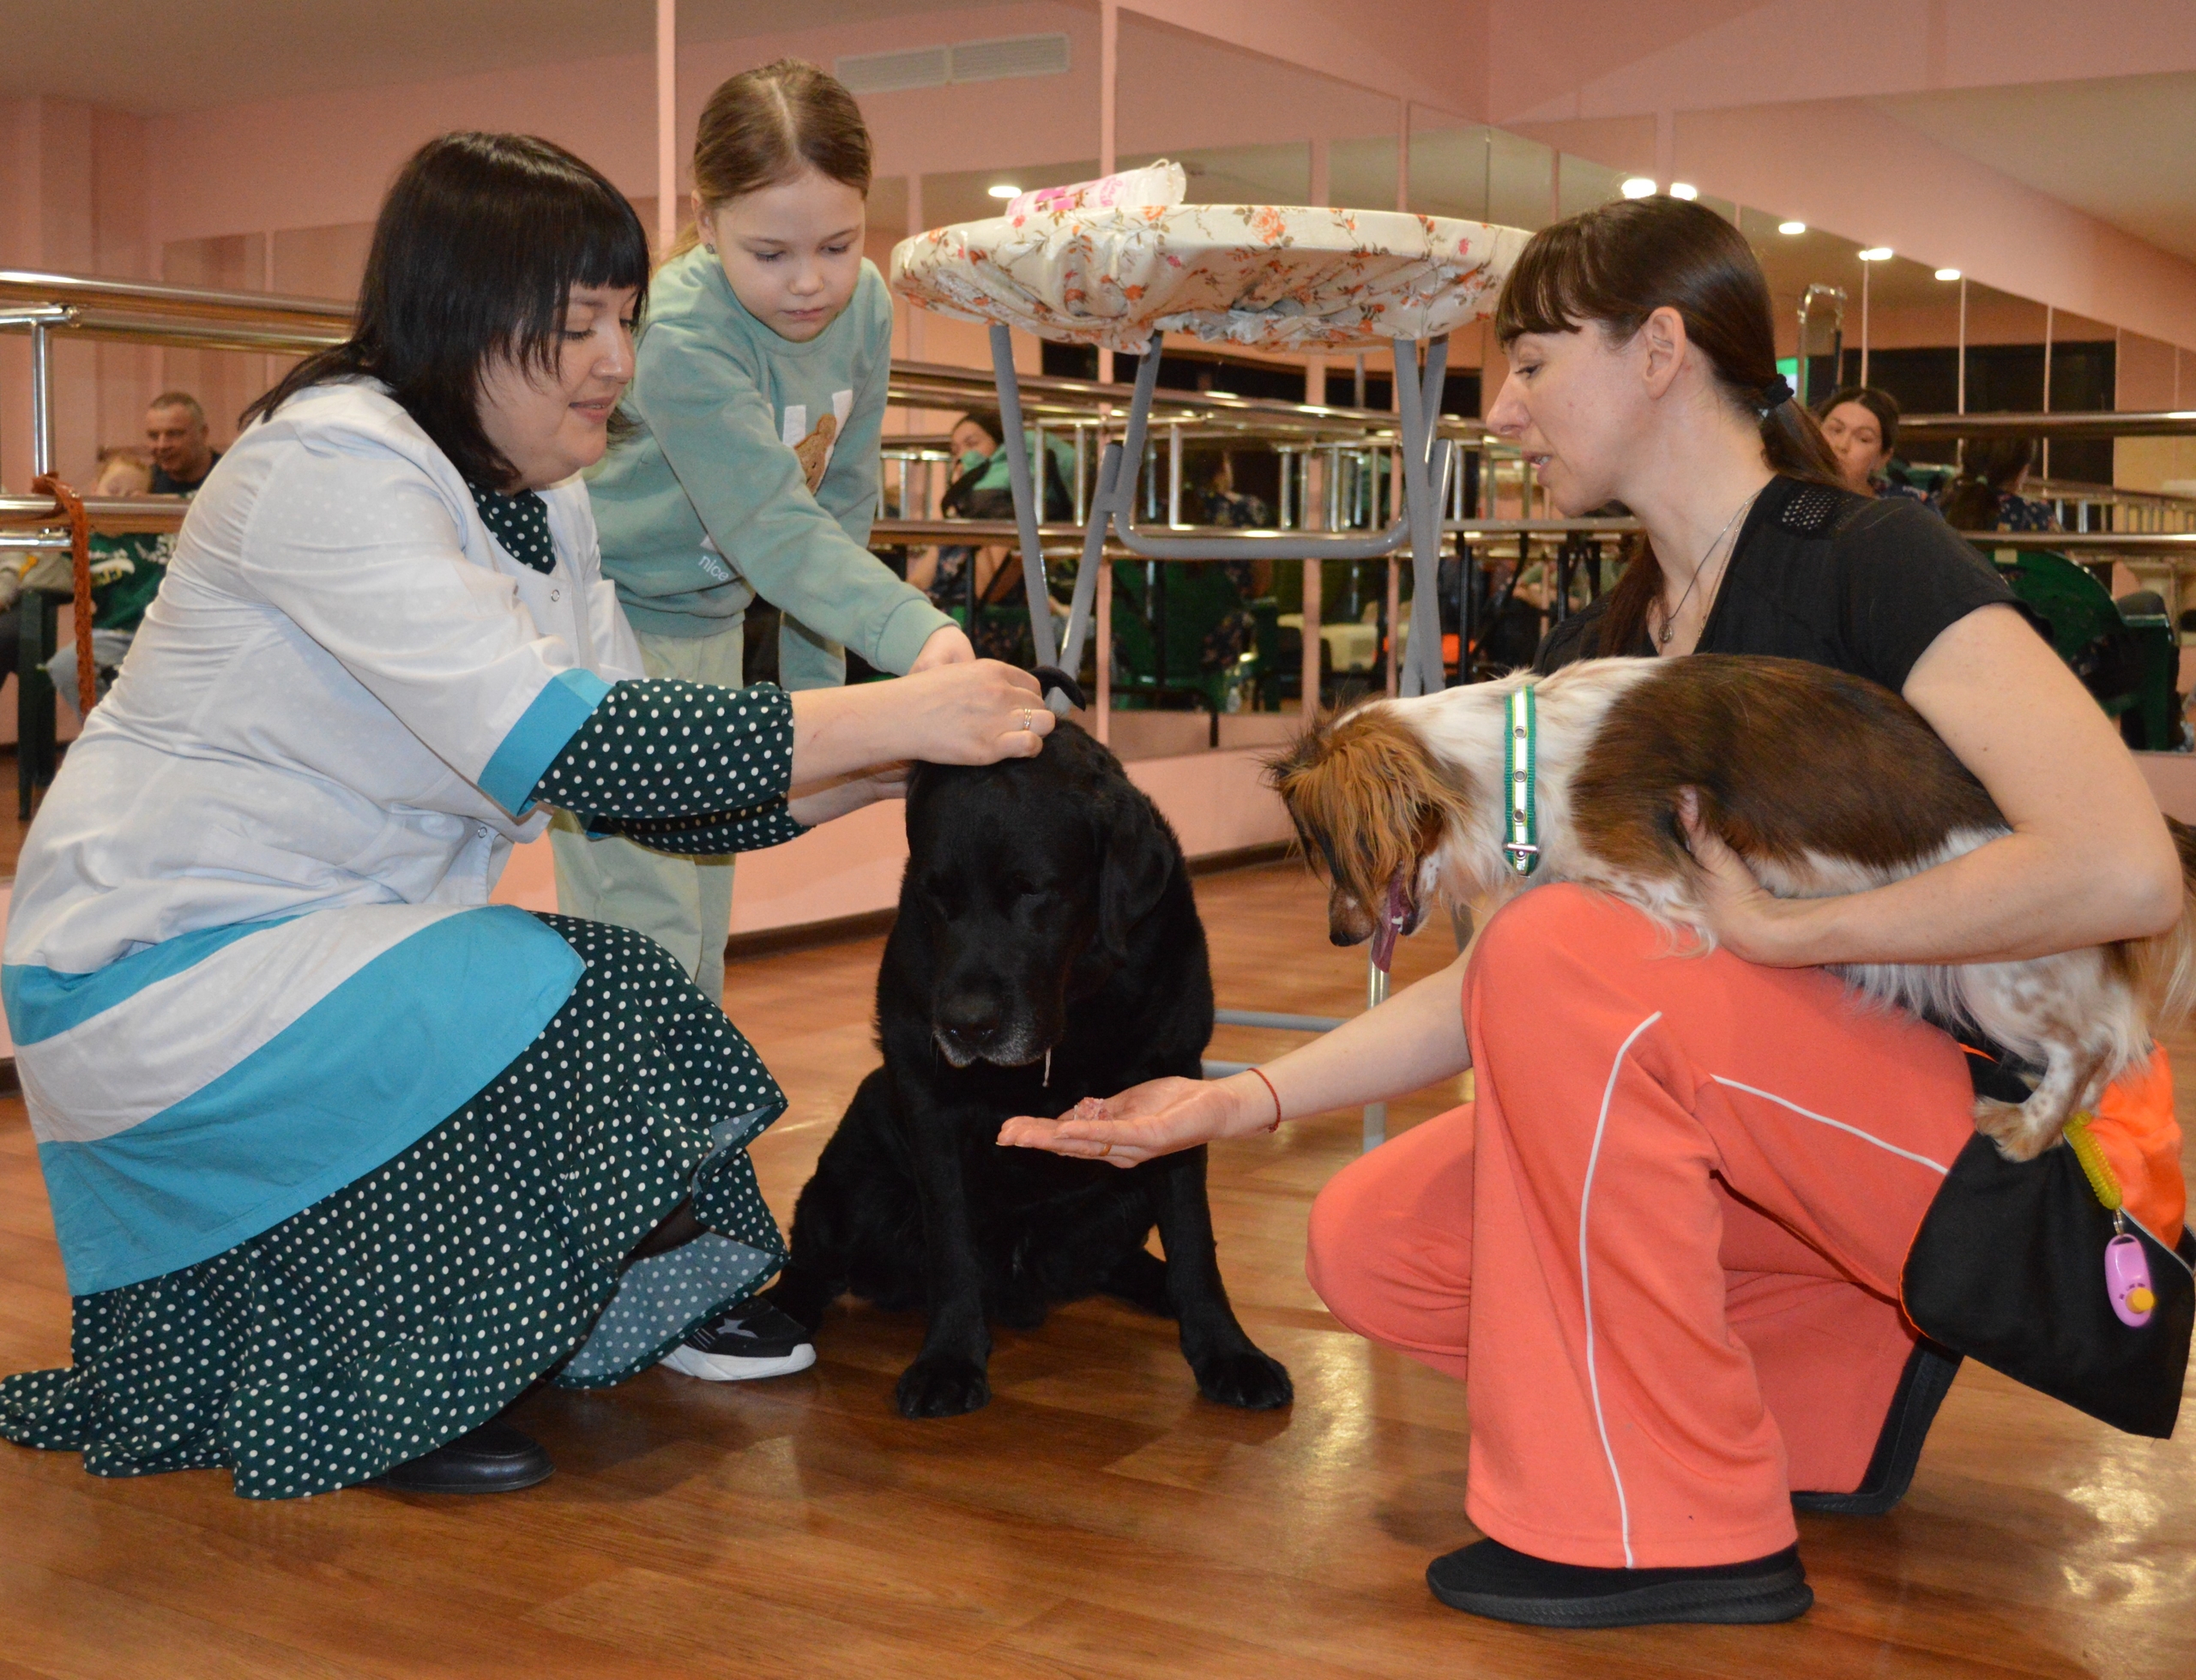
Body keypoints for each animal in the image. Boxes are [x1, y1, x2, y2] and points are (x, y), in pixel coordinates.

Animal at [764, 721, 1293, 1419]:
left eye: (1033, 890)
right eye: (936, 894)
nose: (965, 1025)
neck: (1075, 1002)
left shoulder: (1172, 1077)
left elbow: (1193, 1242)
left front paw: (1227, 1350)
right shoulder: (928, 1100)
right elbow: (951, 1245)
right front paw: (948, 1359)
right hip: (852, 1176)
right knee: (811, 1258)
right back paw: (773, 1314)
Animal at [1269, 654, 2196, 1162]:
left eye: (1341, 855)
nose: (1337, 934)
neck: (1513, 756)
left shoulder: (1657, 885)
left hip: (1994, 980)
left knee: (2092, 1049)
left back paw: (2027, 1128)